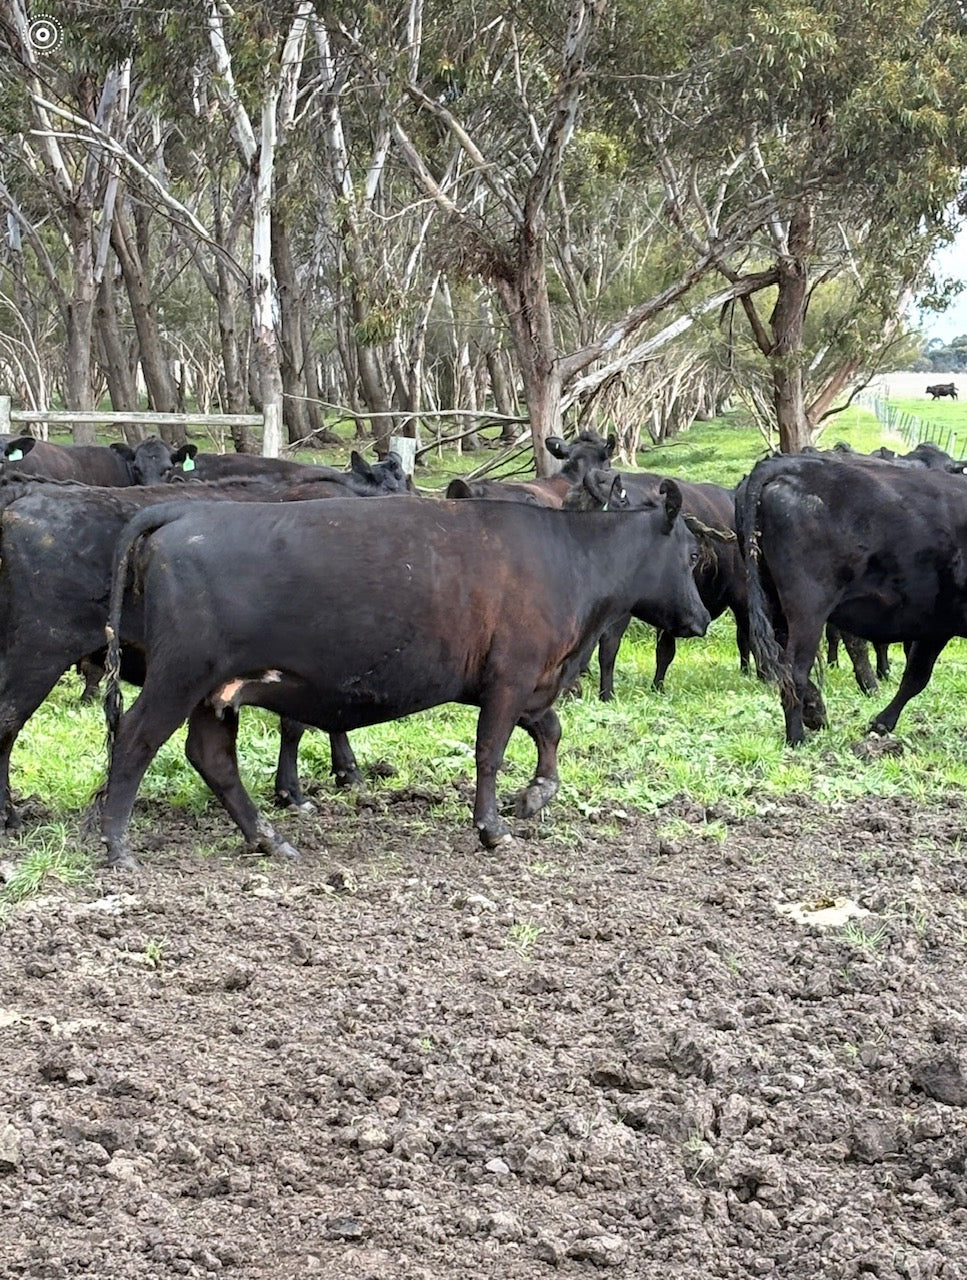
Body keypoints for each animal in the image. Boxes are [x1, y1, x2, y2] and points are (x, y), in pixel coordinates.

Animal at [95, 488, 710, 868]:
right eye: (691, 553)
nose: (701, 619)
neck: (569, 557)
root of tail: (186, 511)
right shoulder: (511, 678)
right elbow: (491, 751)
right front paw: (492, 827)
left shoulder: (533, 683)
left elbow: (550, 731)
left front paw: (535, 796)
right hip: (179, 677)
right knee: (136, 740)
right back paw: (119, 847)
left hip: (216, 693)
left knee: (213, 758)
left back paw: (269, 839)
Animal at [736, 453, 967, 745]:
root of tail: (786, 464)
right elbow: (917, 677)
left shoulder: (936, 624)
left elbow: (915, 676)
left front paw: (880, 724)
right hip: (808, 608)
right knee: (795, 670)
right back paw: (797, 736)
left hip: (773, 599)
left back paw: (815, 712)